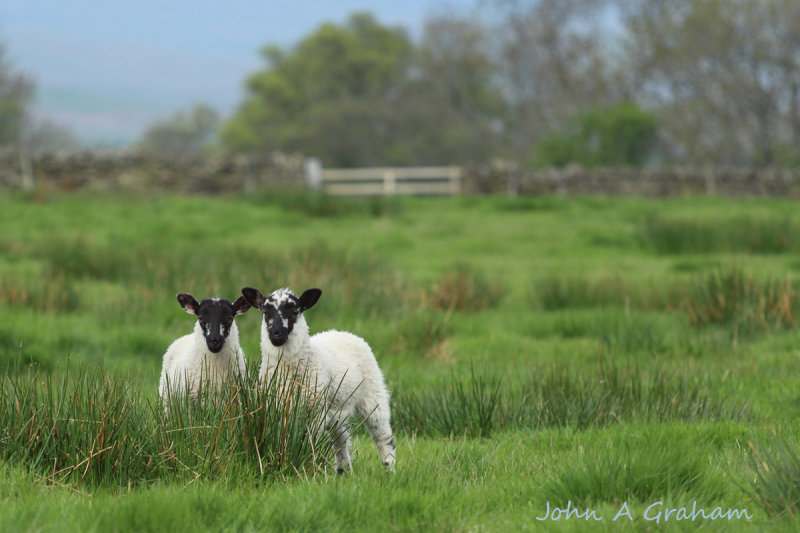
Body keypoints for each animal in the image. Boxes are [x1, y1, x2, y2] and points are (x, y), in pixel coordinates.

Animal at [241, 284, 396, 472]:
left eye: (295, 312)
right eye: (265, 312)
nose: (276, 334)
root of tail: (341, 332)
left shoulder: (315, 411)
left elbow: (308, 443)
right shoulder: (274, 408)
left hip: (373, 394)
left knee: (382, 435)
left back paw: (390, 470)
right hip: (337, 411)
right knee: (342, 442)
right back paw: (344, 472)